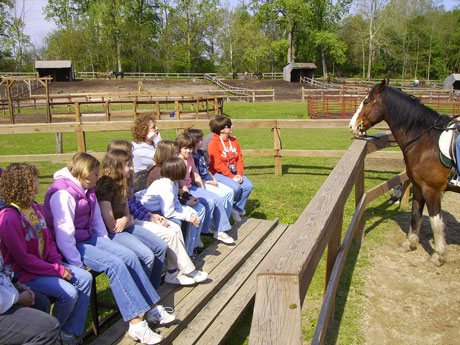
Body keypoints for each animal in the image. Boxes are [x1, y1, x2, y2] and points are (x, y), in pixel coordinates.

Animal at [350, 79, 458, 264]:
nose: (352, 125)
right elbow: (415, 214)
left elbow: (436, 221)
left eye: (366, 101)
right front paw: (409, 244)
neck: (425, 141)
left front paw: (438, 255)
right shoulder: (418, 186)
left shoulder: (432, 190)